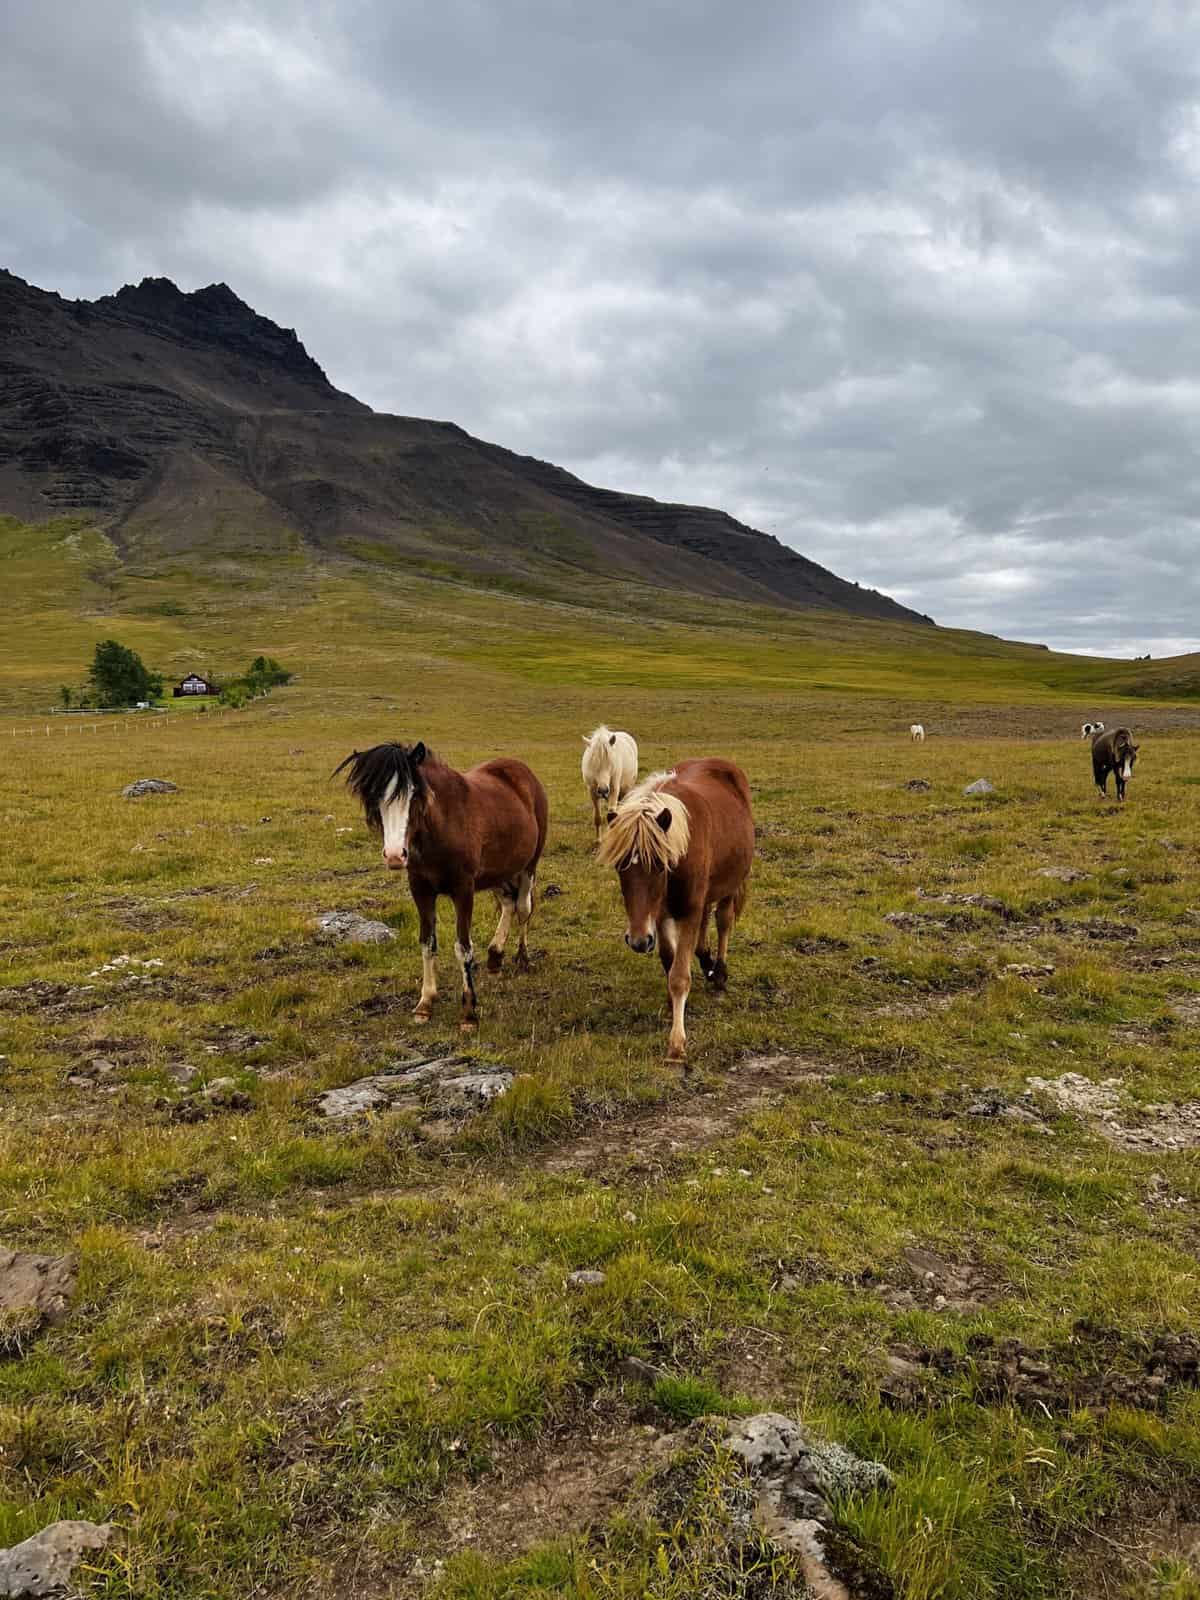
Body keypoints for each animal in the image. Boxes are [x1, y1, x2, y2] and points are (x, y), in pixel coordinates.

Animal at [334, 736, 550, 1024]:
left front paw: (469, 1010)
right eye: (374, 795)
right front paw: (425, 1002)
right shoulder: (421, 890)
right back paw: (495, 957)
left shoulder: (464, 891)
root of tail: (523, 772)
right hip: (498, 871)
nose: (394, 855)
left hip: (528, 866)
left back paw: (522, 958)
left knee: (524, 907)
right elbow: (428, 943)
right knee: (508, 902)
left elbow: (463, 947)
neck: (441, 828)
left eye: (413, 793)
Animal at [598, 758, 755, 1062]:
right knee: (706, 923)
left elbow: (680, 976)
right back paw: (706, 961)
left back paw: (719, 972)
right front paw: (674, 1005)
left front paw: (677, 1042)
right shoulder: (659, 914)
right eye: (620, 866)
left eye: (658, 865)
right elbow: (669, 959)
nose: (637, 940)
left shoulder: (687, 911)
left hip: (730, 886)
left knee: (723, 921)